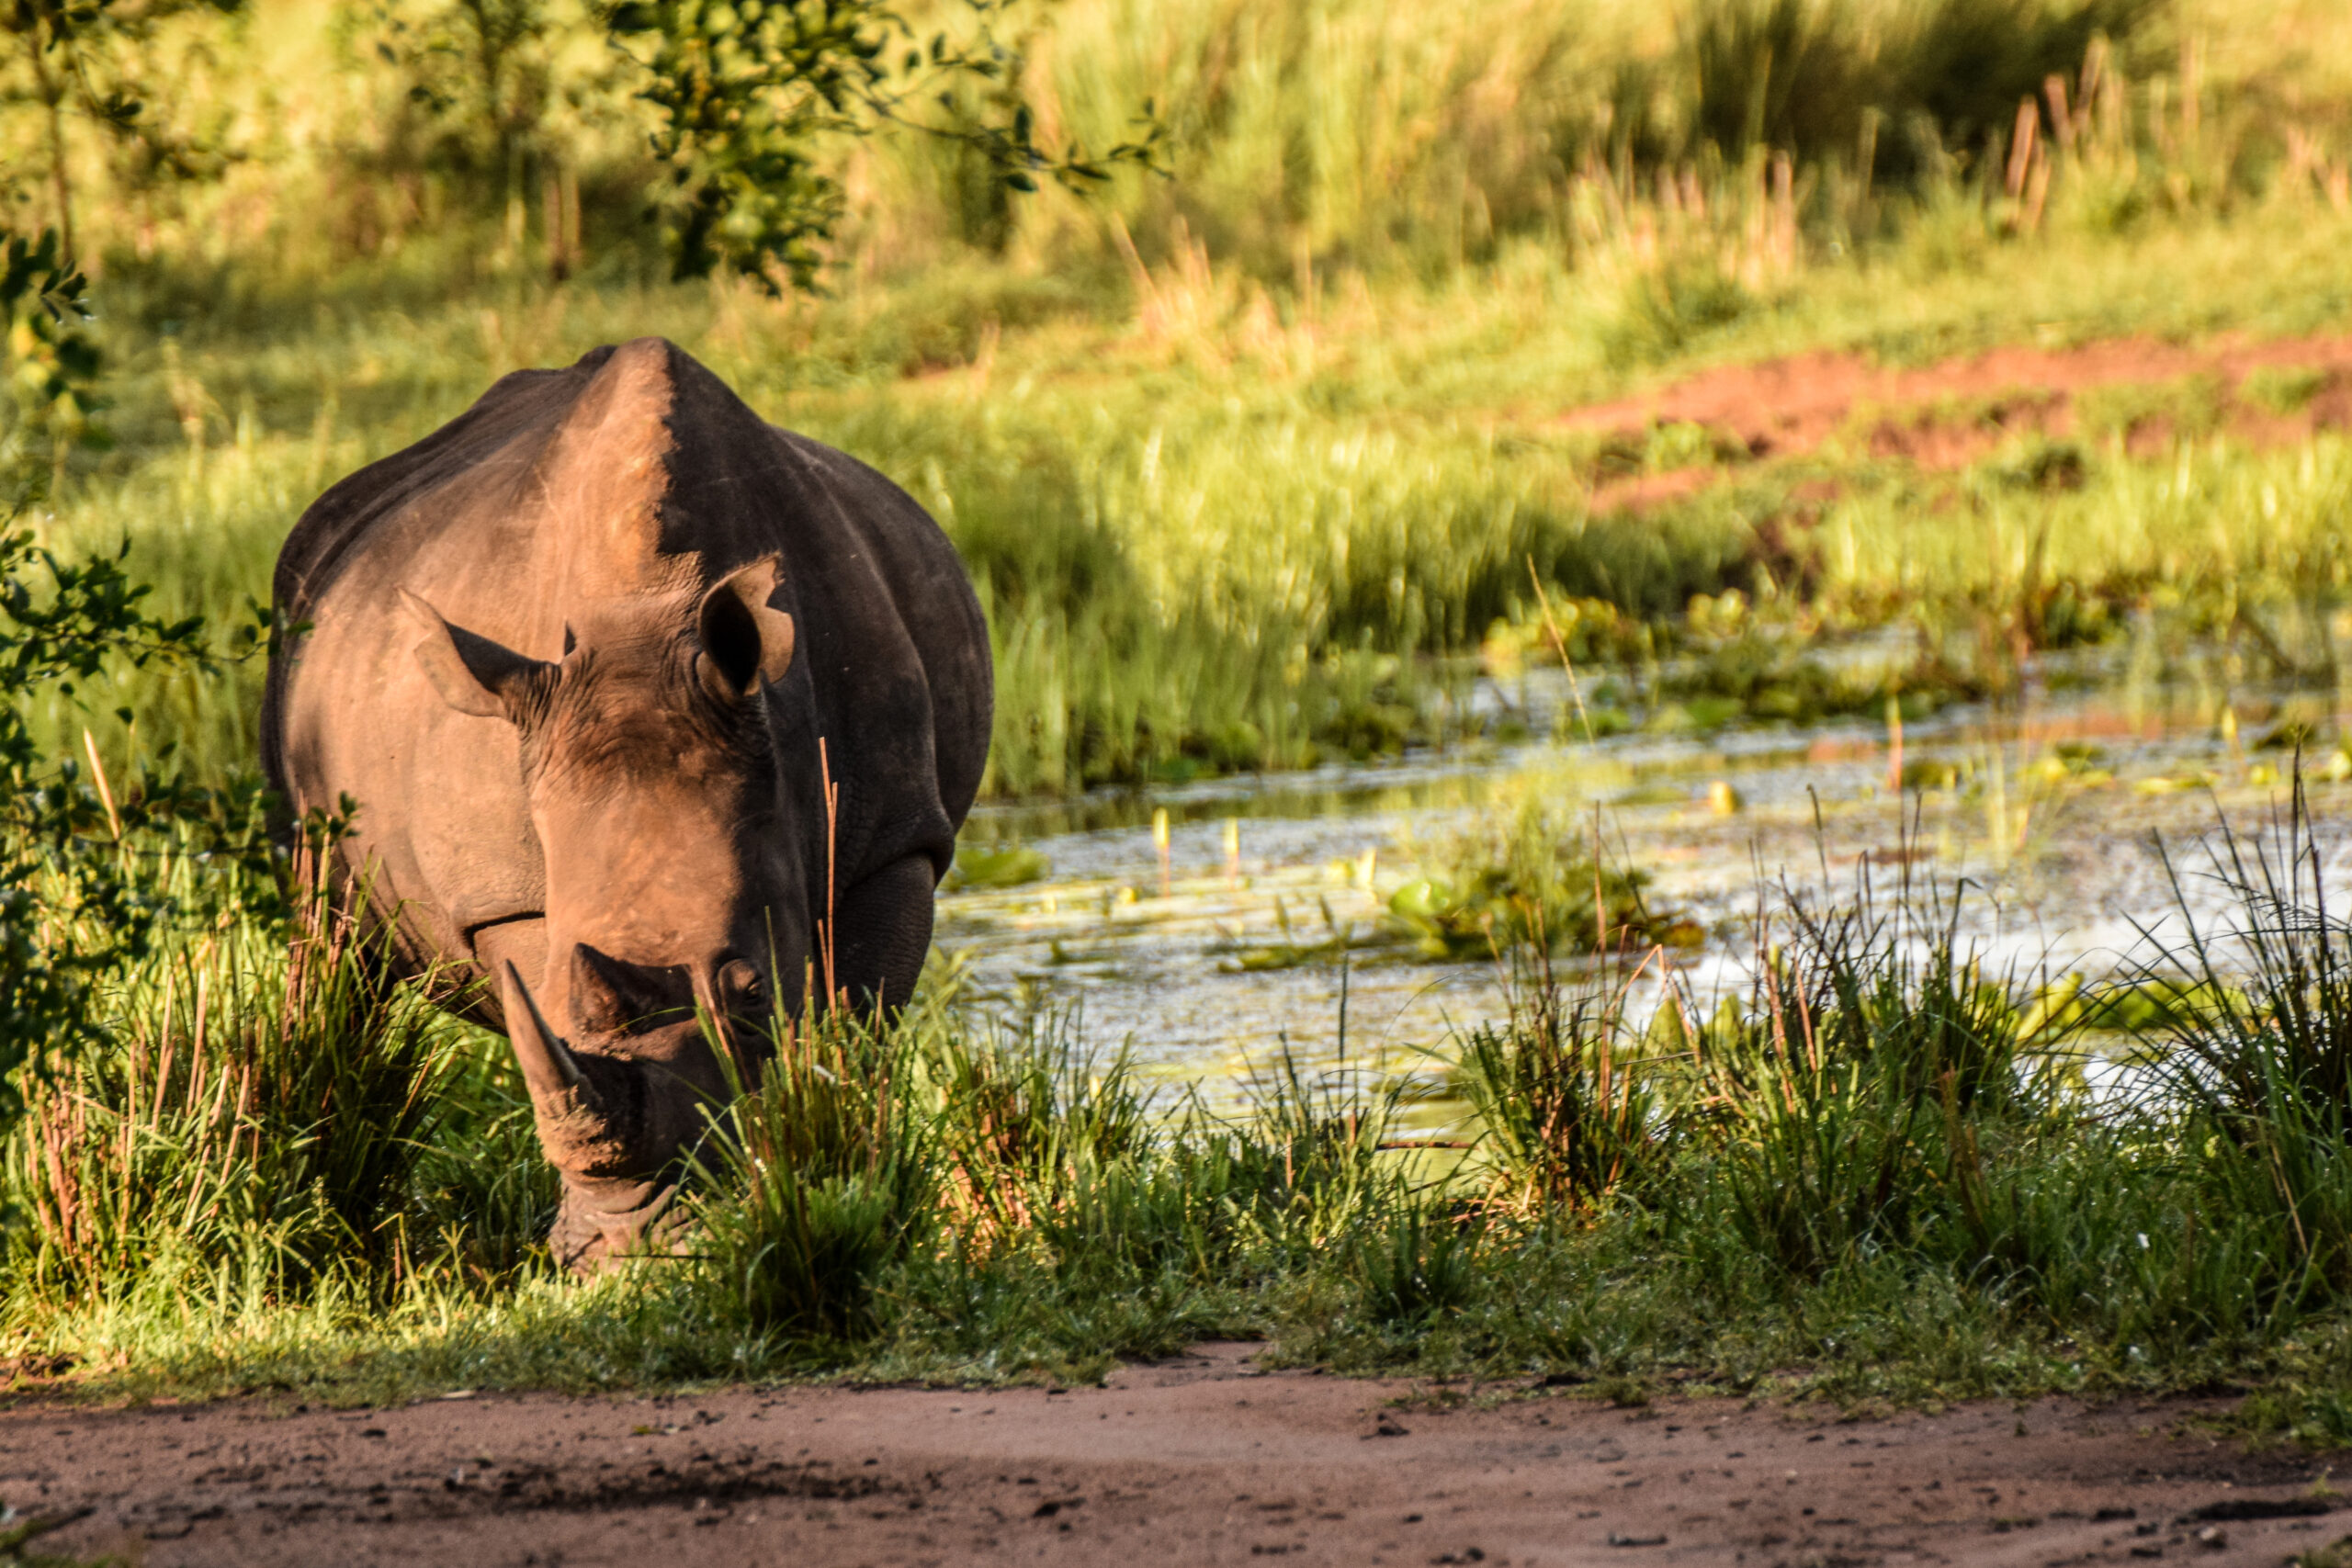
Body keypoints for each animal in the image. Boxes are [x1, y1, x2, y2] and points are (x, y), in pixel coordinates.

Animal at [260, 338, 992, 1268]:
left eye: (751, 993)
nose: (641, 1246)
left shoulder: (894, 843)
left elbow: (853, 1031)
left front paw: (841, 1180)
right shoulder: (508, 894)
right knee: (329, 935)